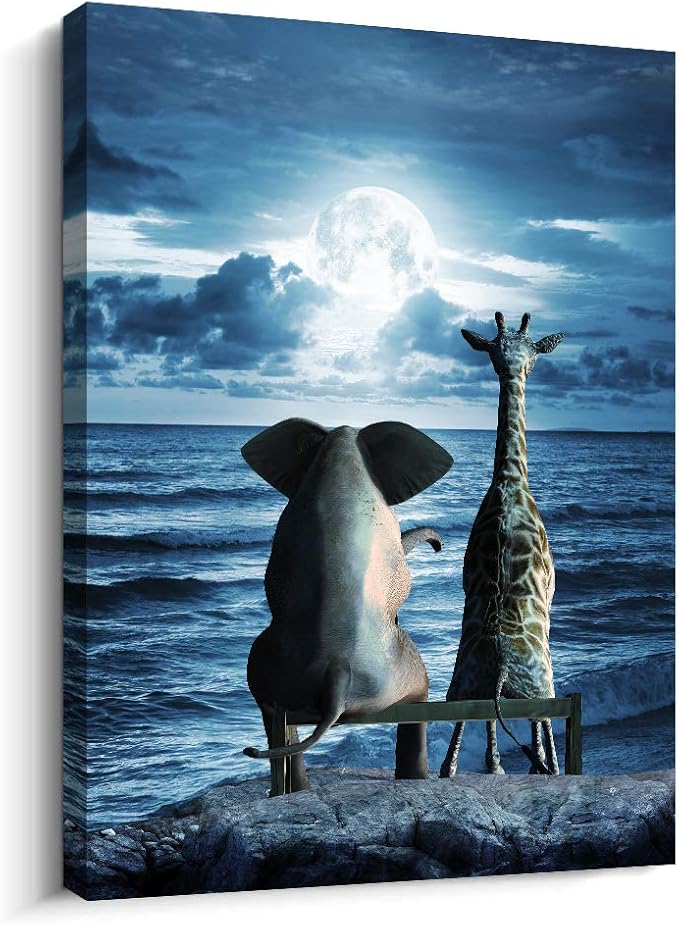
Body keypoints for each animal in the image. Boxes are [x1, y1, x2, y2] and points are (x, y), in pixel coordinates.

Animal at [240, 418, 453, 790]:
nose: (439, 547)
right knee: (419, 696)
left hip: (271, 668)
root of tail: (335, 675)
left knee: (271, 710)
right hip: (400, 670)